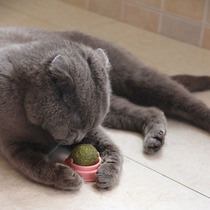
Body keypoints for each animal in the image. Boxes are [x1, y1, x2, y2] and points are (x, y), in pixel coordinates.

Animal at [0, 27, 210, 191]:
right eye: (72, 128)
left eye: (85, 128)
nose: (77, 140)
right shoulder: (13, 145)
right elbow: (34, 165)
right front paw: (68, 178)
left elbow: (109, 144)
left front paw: (109, 172)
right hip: (115, 105)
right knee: (151, 110)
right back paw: (155, 138)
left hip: (134, 76)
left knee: (180, 98)